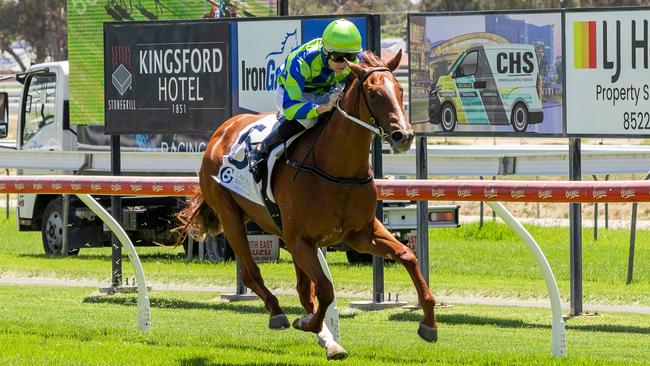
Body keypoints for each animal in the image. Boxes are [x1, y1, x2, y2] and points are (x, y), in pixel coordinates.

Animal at [178, 50, 436, 354]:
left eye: (400, 89)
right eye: (374, 93)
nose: (403, 136)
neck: (337, 169)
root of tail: (223, 129)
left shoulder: (361, 234)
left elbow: (407, 255)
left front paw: (429, 323)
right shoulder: (302, 238)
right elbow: (325, 288)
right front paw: (309, 325)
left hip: (279, 230)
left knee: (303, 289)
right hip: (231, 216)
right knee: (253, 274)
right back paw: (278, 313)